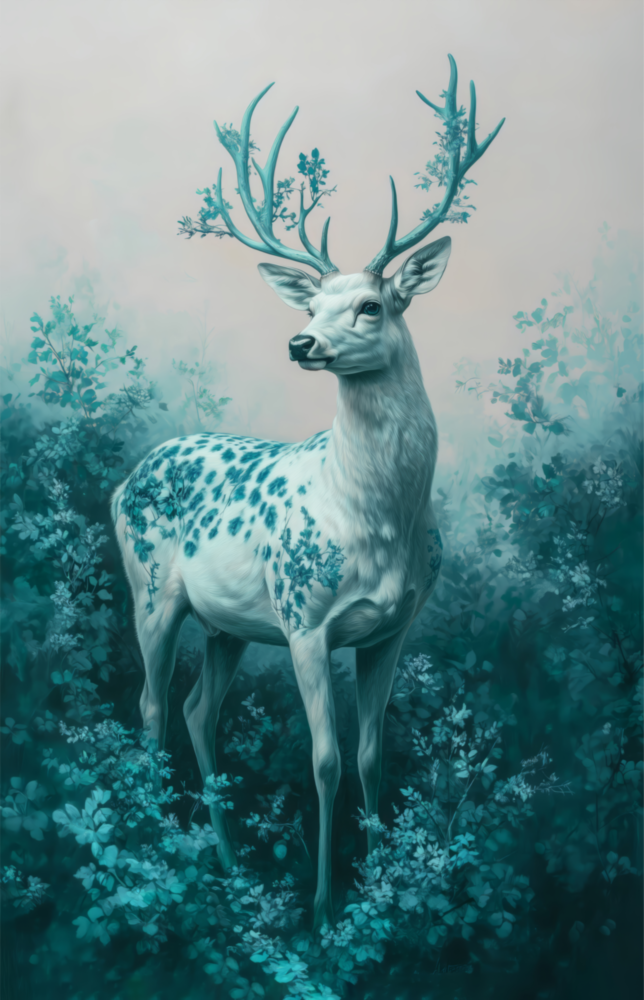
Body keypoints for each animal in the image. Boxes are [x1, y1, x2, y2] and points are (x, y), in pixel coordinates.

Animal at [111, 55, 504, 929]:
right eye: (313, 303)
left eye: (371, 304)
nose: (301, 342)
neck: (376, 519)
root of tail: (129, 475)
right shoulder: (304, 620)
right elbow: (322, 759)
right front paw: (322, 906)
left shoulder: (393, 627)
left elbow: (372, 752)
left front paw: (386, 881)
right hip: (151, 589)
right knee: (149, 707)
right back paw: (159, 851)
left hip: (227, 624)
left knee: (196, 710)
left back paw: (228, 862)